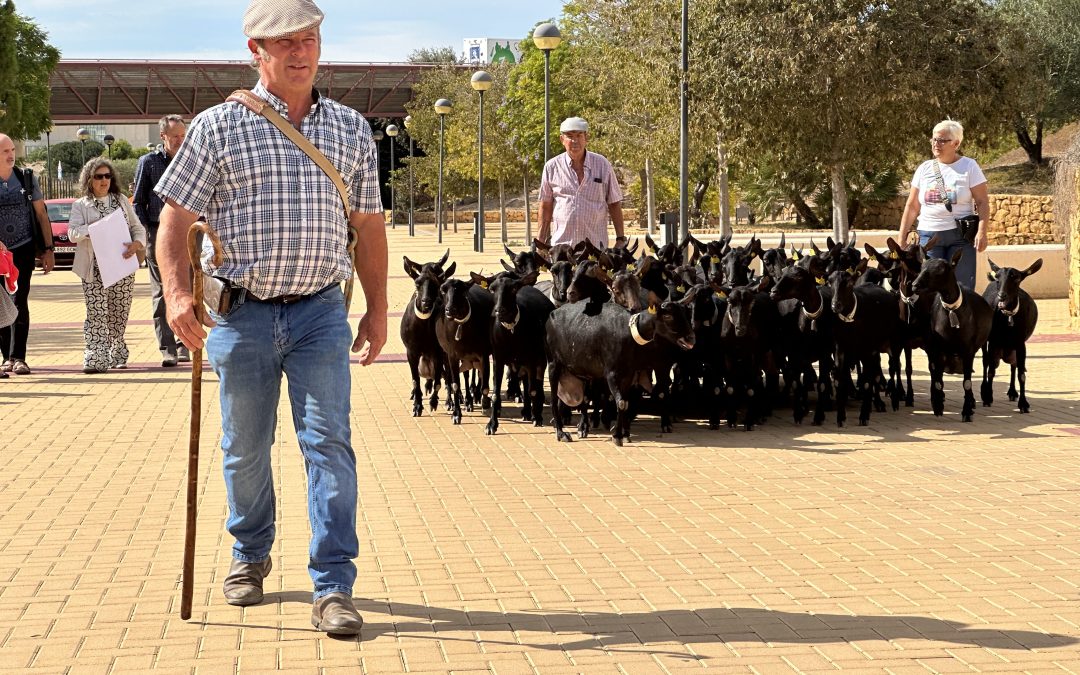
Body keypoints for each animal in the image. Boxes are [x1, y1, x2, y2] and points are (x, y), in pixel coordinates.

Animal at [907, 250, 989, 421]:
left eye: (940, 270)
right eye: (922, 267)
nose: (915, 285)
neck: (952, 312)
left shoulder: (968, 350)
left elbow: (967, 383)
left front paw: (966, 412)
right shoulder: (937, 349)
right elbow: (938, 380)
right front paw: (938, 406)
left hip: (983, 345)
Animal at [984, 258, 1041, 412]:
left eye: (1016, 278)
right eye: (997, 277)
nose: (1001, 295)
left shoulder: (1020, 344)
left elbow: (1021, 374)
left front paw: (1023, 403)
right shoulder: (993, 342)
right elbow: (991, 370)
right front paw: (988, 397)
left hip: (1013, 348)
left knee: (1013, 365)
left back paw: (1012, 391)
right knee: (986, 363)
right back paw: (984, 390)